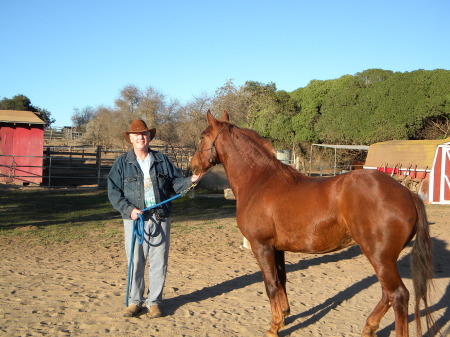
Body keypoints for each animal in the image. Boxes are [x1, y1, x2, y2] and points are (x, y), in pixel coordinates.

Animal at [189, 110, 436, 336]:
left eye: (202, 136)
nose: (192, 167)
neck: (260, 181)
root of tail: (407, 193)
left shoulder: (261, 247)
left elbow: (271, 286)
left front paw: (274, 327)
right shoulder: (277, 249)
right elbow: (281, 280)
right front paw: (284, 316)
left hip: (379, 257)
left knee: (398, 295)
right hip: (384, 259)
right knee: (387, 294)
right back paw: (368, 327)